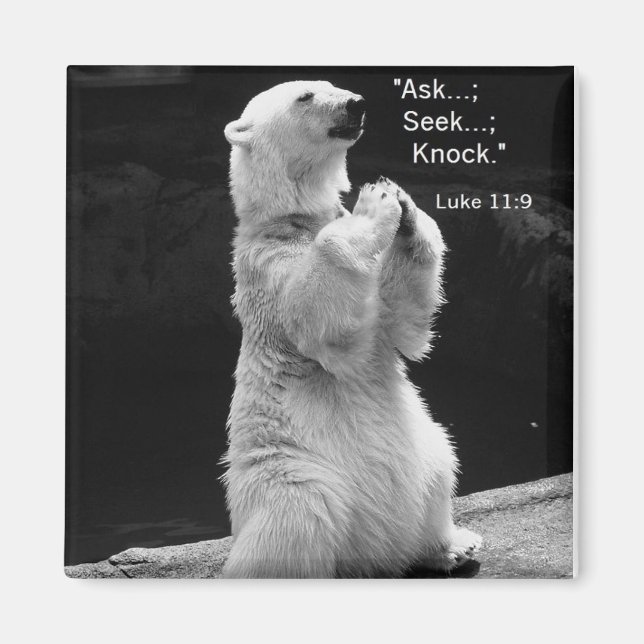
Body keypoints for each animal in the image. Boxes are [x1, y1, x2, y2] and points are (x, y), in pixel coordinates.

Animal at [221, 80, 481, 578]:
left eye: (330, 85)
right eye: (306, 96)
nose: (355, 103)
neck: (293, 220)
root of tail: (374, 556)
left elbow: (403, 323)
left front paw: (404, 207)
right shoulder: (267, 268)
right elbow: (322, 325)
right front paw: (375, 203)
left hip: (421, 441)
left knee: (442, 459)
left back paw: (453, 546)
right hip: (292, 468)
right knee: (299, 517)